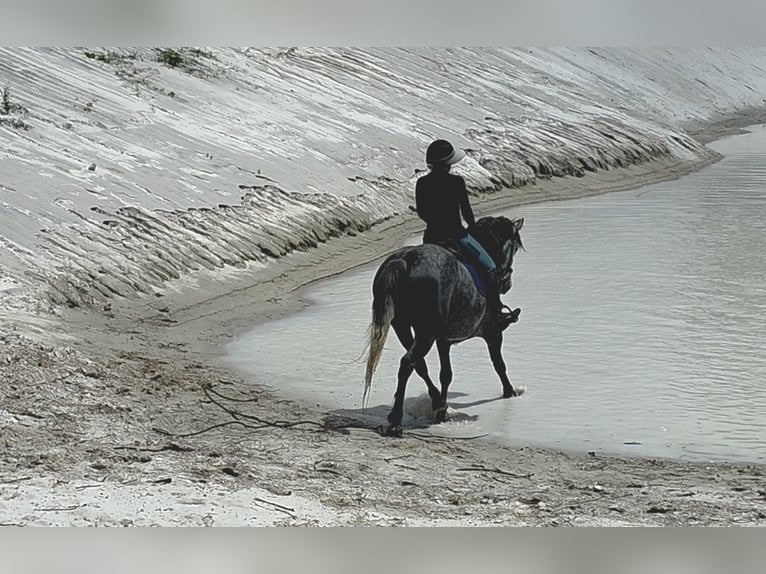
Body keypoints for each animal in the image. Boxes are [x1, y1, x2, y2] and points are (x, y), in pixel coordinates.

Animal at [363, 216, 525, 437]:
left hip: (404, 327)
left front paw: (441, 409)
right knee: (407, 363)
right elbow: (499, 364)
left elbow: (445, 374)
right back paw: (397, 421)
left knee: (418, 365)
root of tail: (404, 260)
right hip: (425, 332)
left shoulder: (443, 340)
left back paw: (435, 402)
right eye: (514, 247)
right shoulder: (493, 333)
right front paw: (509, 391)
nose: (507, 283)